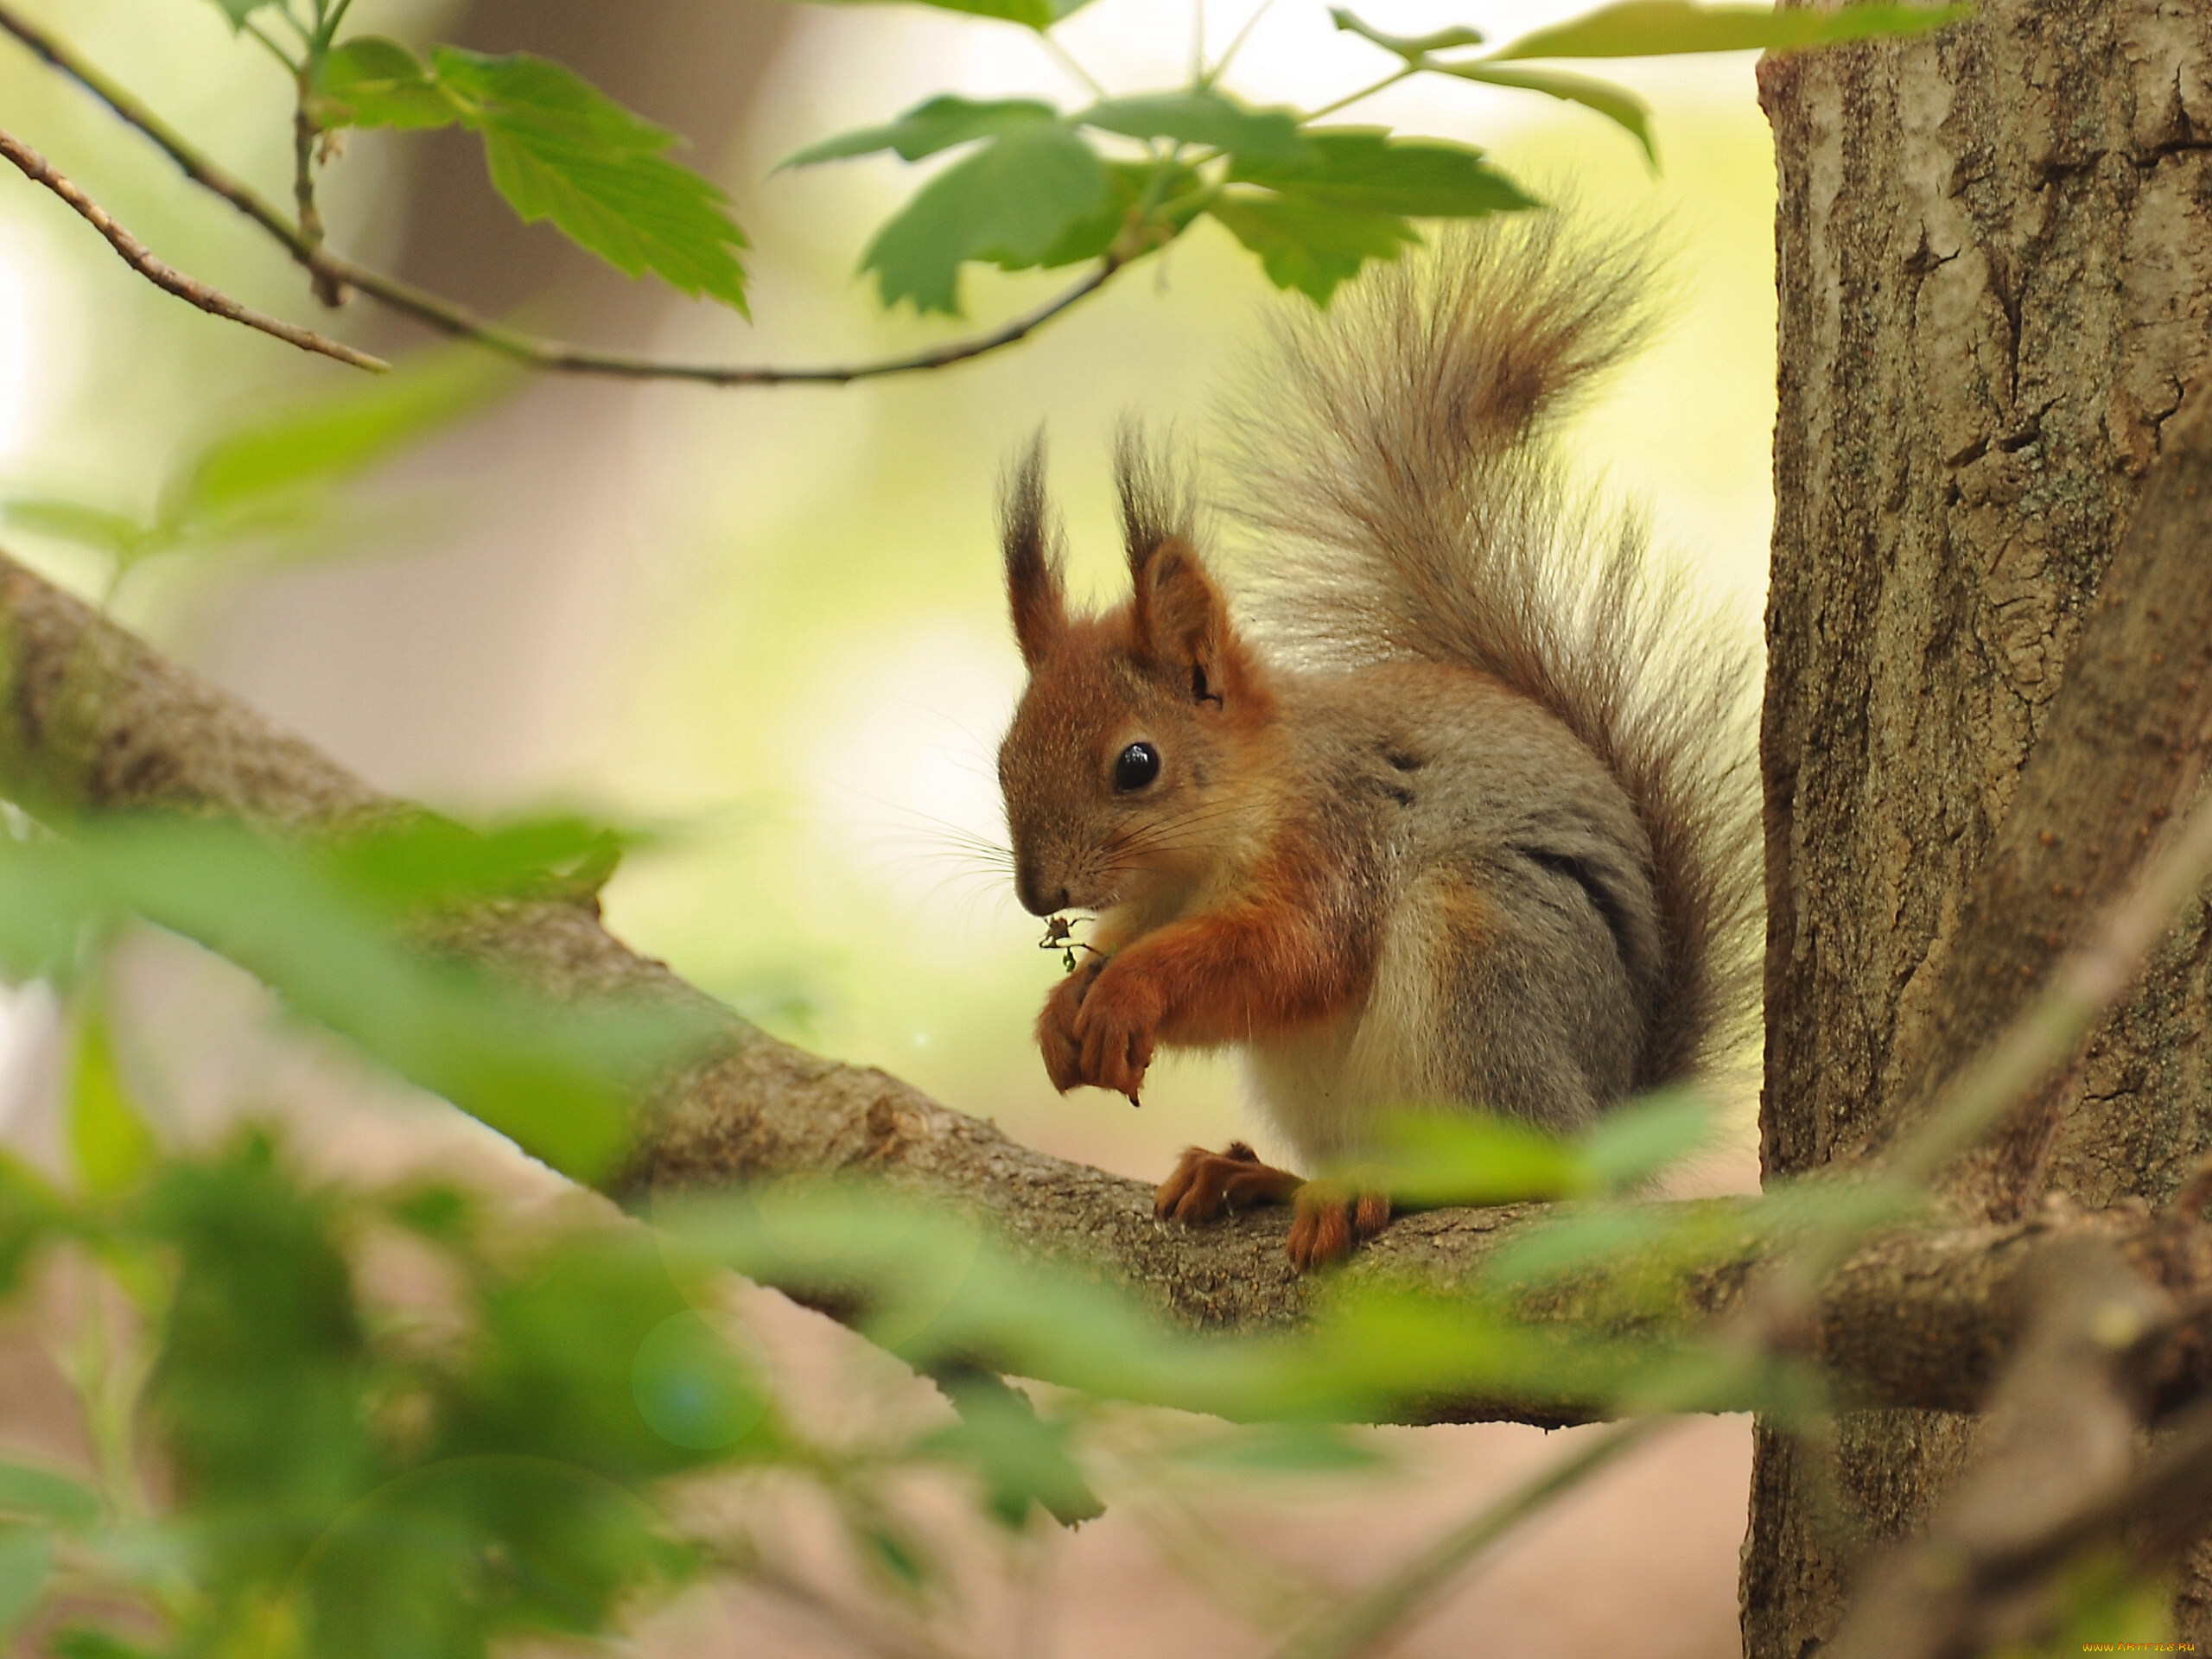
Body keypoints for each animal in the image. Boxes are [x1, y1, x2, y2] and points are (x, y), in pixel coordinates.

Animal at [995, 214, 1751, 1265]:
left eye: (1136, 764)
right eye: (1003, 756)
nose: (1038, 896)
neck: (1209, 847)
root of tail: (1607, 1129)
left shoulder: (1332, 839)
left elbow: (1288, 955)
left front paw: (1126, 992)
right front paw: (1058, 1013)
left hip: (1483, 963)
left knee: (1513, 1173)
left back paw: (1377, 1190)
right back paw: (1256, 1176)